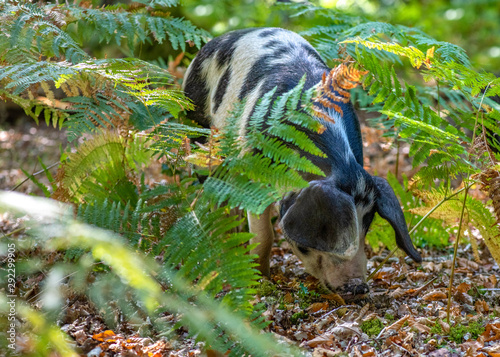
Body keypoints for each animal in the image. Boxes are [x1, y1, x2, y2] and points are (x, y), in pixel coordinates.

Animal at [182, 27, 420, 298]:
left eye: (367, 224)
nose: (358, 287)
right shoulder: (253, 172)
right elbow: (264, 235)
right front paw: (260, 281)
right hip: (198, 133)